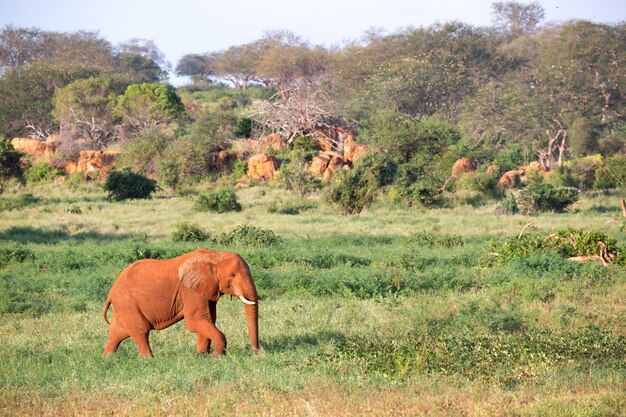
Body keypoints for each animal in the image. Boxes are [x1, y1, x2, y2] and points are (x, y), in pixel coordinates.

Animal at [102, 247, 258, 358]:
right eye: (232, 275)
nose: (256, 352)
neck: (215, 256)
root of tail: (110, 292)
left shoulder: (207, 289)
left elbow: (208, 319)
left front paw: (201, 355)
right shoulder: (190, 290)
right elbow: (195, 320)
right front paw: (216, 356)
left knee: (117, 333)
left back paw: (107, 358)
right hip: (127, 303)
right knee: (141, 332)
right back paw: (149, 359)